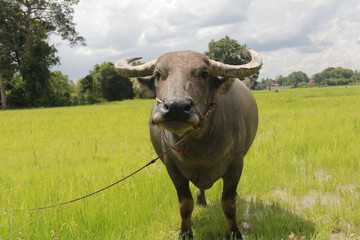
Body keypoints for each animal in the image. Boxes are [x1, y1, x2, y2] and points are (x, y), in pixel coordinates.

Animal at [115, 49, 262, 239]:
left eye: (204, 74)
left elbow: (229, 203)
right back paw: (201, 201)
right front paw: (185, 233)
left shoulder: (236, 164)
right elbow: (185, 204)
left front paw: (235, 233)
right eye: (157, 74)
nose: (176, 107)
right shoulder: (172, 168)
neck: (199, 147)